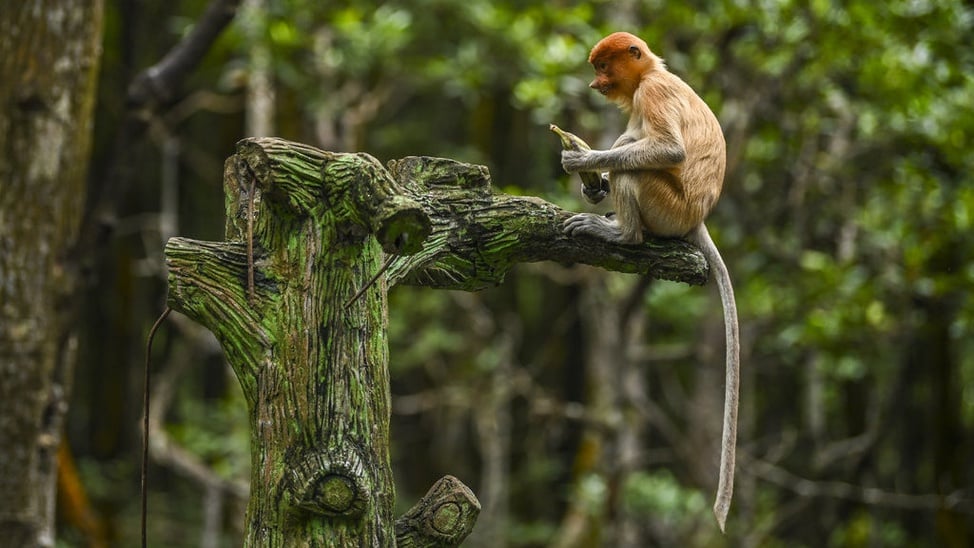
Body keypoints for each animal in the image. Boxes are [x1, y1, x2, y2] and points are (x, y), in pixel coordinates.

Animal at [560, 31, 744, 532]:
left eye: (604, 66)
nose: (594, 83)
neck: (653, 73)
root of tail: (697, 216)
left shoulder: (652, 94)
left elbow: (668, 149)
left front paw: (585, 160)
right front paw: (593, 185)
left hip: (668, 206)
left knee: (638, 166)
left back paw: (621, 231)